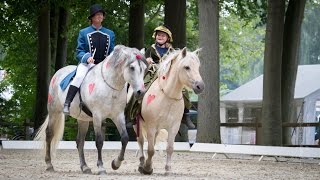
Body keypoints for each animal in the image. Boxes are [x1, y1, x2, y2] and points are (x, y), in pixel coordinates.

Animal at [34, 45, 148, 174]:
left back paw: (85, 167)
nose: (141, 92)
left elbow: (125, 138)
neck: (111, 85)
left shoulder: (118, 116)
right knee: (49, 133)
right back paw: (49, 164)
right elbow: (99, 141)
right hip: (54, 111)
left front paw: (116, 163)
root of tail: (59, 72)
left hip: (82, 119)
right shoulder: (97, 116)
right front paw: (101, 167)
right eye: (132, 67)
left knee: (80, 141)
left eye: (144, 68)